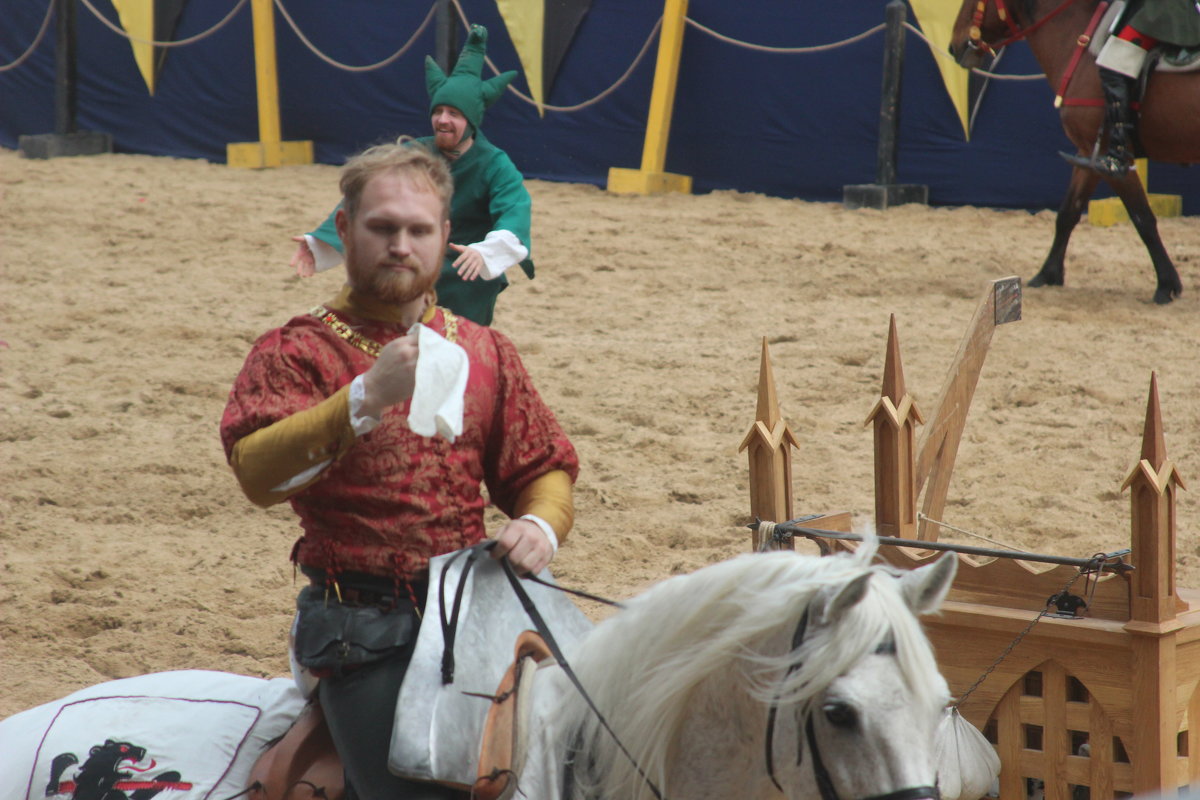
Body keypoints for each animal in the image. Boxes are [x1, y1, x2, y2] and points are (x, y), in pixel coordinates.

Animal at [950, 0, 1195, 303]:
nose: (954, 45)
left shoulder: (1113, 160)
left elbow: (1143, 218)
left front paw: (1166, 284)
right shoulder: (1088, 152)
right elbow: (1068, 212)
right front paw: (1048, 274)